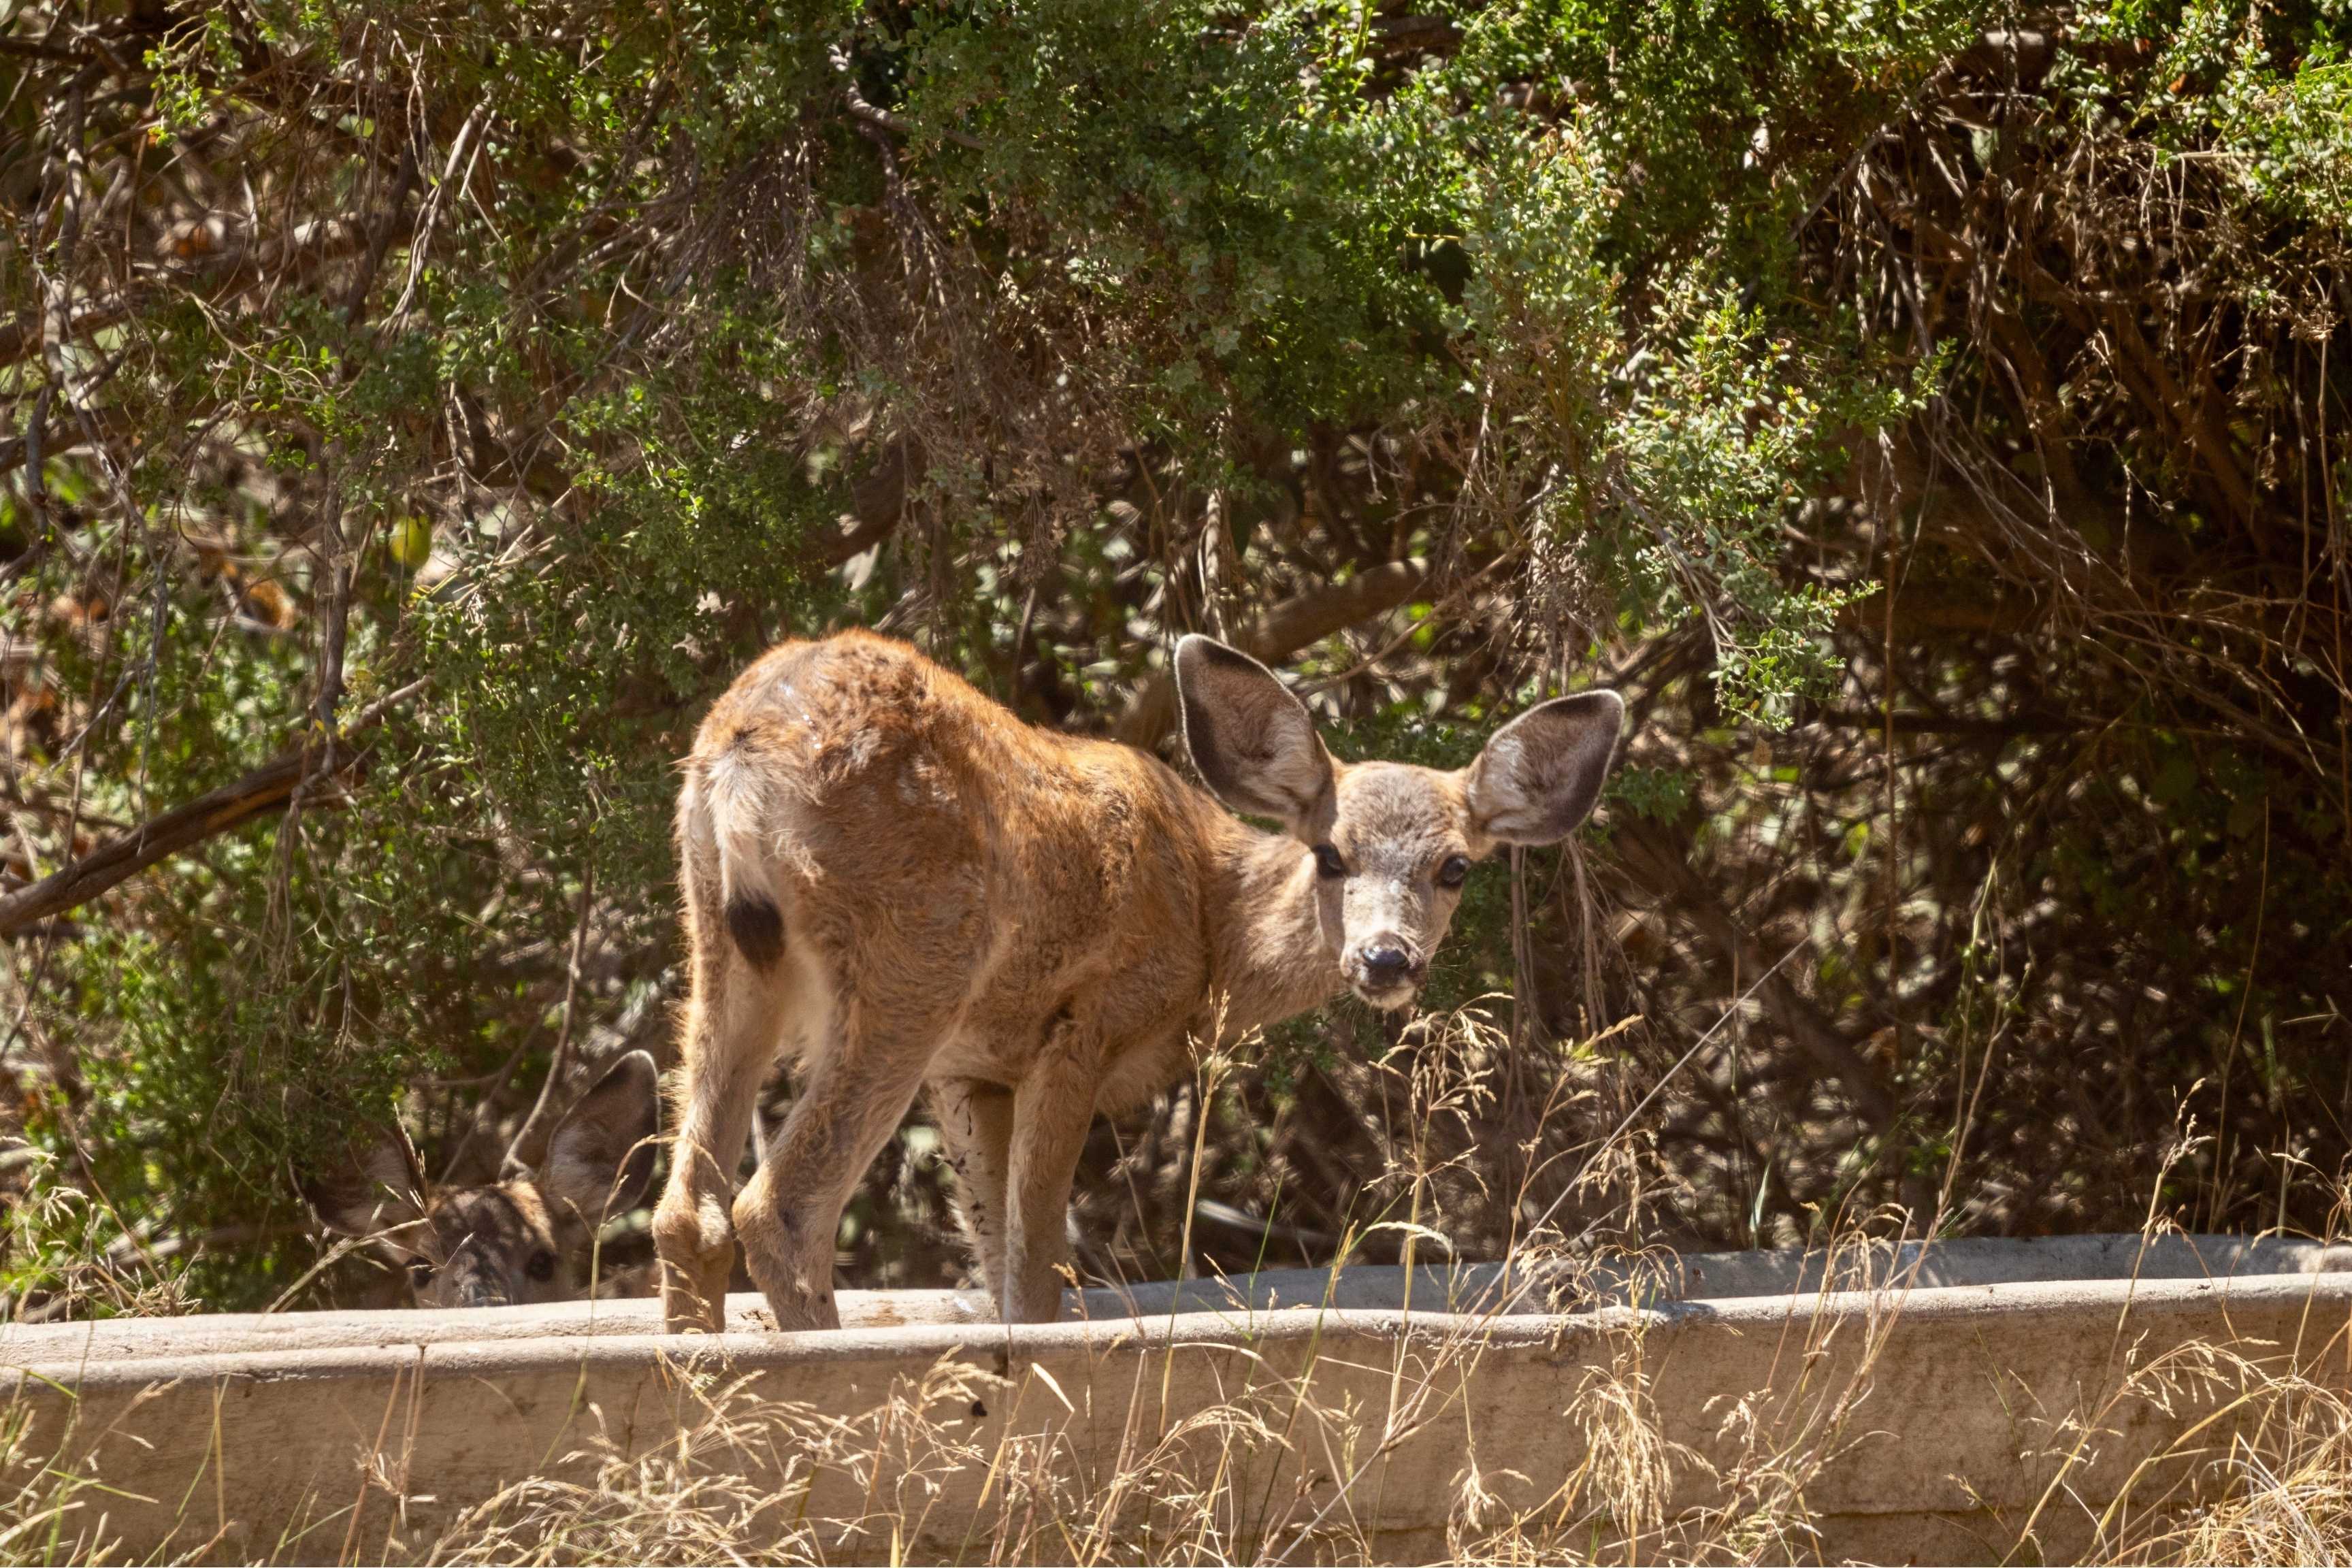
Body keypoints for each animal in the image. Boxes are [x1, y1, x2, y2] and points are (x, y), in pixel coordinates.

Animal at [653, 627, 1624, 1333]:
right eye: (1331, 853)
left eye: (1455, 866)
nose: (1386, 958)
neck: (1205, 922)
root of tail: (741, 756)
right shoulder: (1085, 1019)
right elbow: (1036, 1268)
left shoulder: (971, 1067)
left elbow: (999, 1263)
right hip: (913, 957)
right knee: (778, 1208)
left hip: (720, 942)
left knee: (687, 1211)